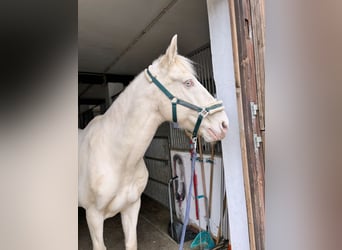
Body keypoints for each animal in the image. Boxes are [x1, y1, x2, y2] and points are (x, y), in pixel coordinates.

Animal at [79, 35, 228, 250]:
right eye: (188, 82)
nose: (224, 124)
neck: (116, 158)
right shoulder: (93, 217)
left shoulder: (131, 208)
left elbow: (131, 243)